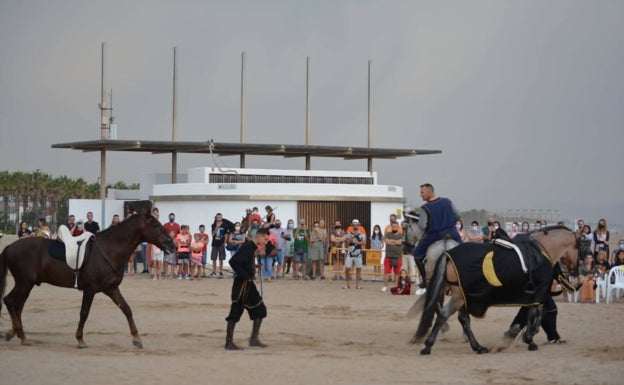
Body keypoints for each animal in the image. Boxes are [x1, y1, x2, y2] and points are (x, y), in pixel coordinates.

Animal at [0, 201, 176, 348]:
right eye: (155, 225)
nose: (172, 245)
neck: (109, 249)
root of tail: (9, 247)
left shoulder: (111, 289)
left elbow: (127, 309)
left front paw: (137, 338)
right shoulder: (90, 290)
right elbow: (84, 313)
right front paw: (80, 339)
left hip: (26, 284)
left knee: (17, 306)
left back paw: (15, 333)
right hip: (24, 283)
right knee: (10, 301)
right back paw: (21, 336)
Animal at [412, 225, 576, 354]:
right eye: (578, 246)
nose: (574, 269)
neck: (541, 249)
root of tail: (446, 252)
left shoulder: (533, 296)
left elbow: (533, 314)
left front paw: (522, 335)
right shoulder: (538, 293)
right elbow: (537, 314)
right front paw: (529, 339)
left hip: (461, 296)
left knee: (463, 320)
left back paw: (478, 347)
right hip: (459, 297)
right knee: (444, 315)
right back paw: (428, 346)